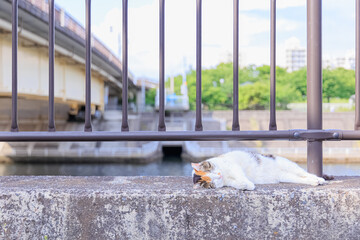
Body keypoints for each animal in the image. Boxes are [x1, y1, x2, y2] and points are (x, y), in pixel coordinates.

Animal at [191, 151, 332, 190]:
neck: (225, 176)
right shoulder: (229, 181)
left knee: (306, 173)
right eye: (210, 182)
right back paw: (314, 182)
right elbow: (236, 183)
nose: (219, 176)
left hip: (290, 166)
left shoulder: (233, 167)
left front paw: (249, 184)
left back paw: (319, 179)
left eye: (211, 172)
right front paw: (245, 186)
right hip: (287, 176)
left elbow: (239, 175)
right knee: (302, 179)